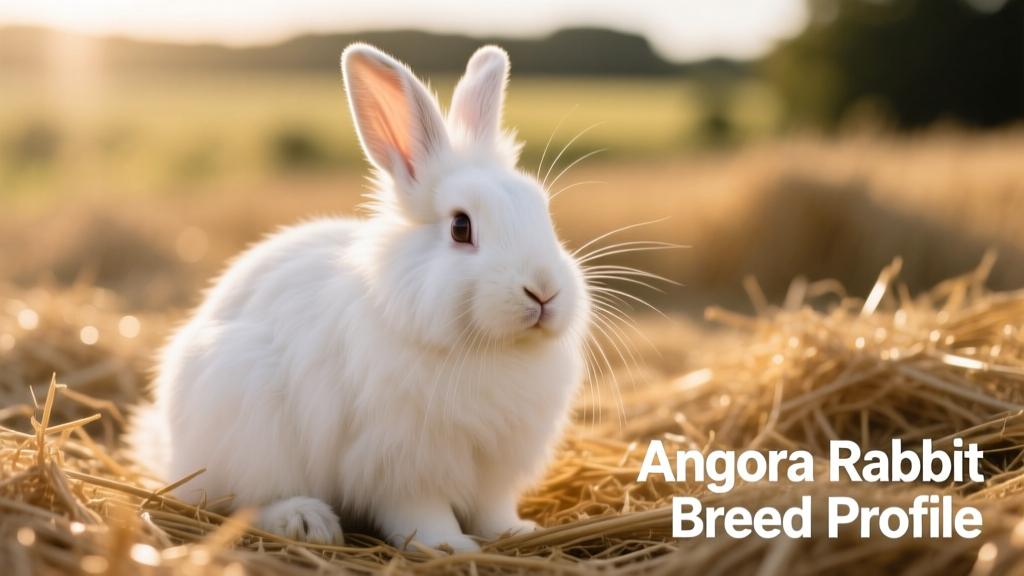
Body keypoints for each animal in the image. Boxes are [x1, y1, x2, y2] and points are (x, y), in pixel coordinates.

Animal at [127, 43, 591, 553]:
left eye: (543, 211)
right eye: (460, 226)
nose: (544, 290)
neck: (490, 350)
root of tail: (173, 450)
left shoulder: (494, 470)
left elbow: (492, 510)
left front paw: (516, 531)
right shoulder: (399, 463)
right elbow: (422, 512)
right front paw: (447, 547)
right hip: (247, 421)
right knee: (243, 501)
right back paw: (306, 521)